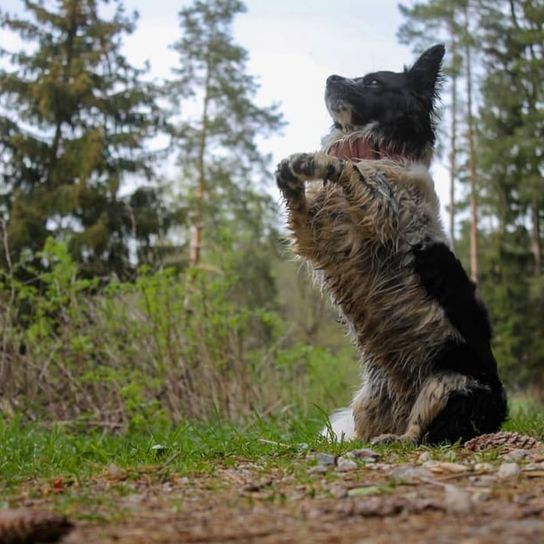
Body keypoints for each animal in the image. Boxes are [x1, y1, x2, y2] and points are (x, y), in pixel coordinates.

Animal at [278, 45, 508, 446]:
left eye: (373, 82)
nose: (330, 78)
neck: (376, 152)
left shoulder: (380, 212)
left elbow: (349, 171)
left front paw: (319, 161)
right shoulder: (319, 239)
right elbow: (302, 208)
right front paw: (289, 175)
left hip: (451, 384)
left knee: (421, 434)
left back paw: (393, 441)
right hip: (368, 401)